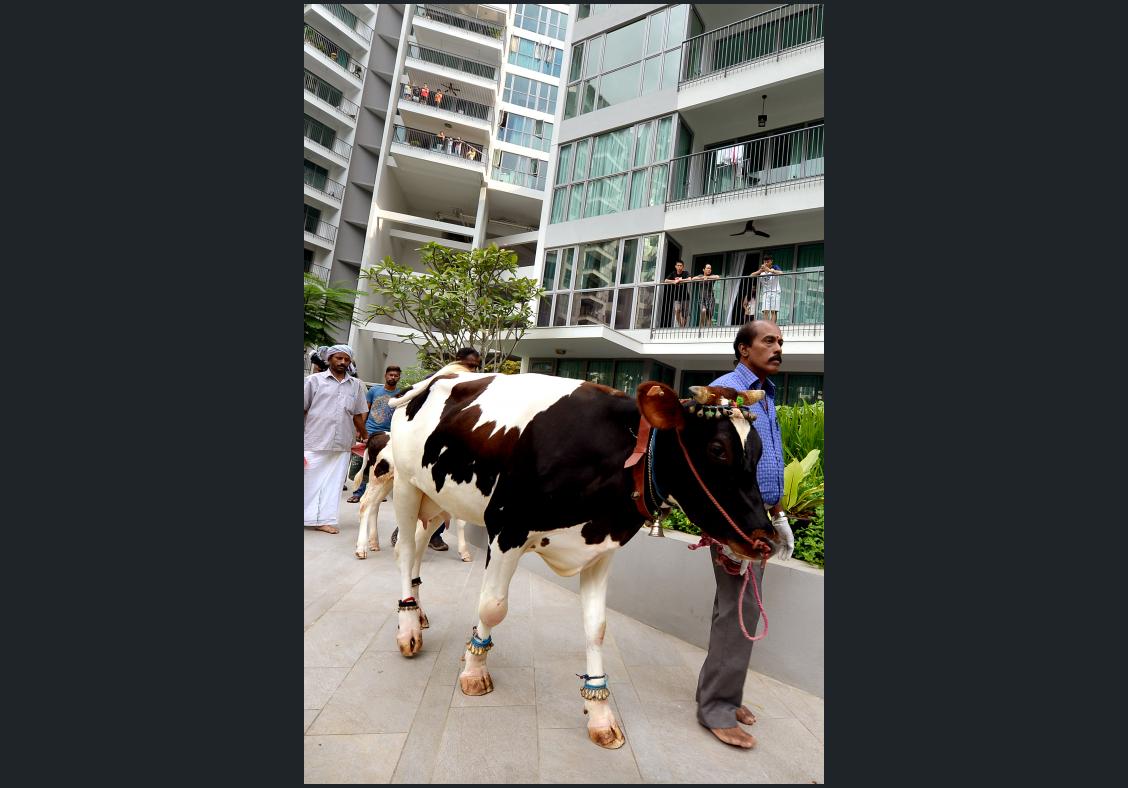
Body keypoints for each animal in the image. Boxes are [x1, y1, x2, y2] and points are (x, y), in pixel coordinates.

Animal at [388, 369, 776, 753]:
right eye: (717, 449)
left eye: (758, 452)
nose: (765, 541)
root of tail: (441, 374)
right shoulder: (505, 529)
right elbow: (492, 607)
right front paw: (474, 669)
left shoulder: (601, 549)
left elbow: (596, 628)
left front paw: (600, 713)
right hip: (406, 485)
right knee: (405, 550)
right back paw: (408, 627)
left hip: (437, 496)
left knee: (420, 542)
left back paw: (419, 613)